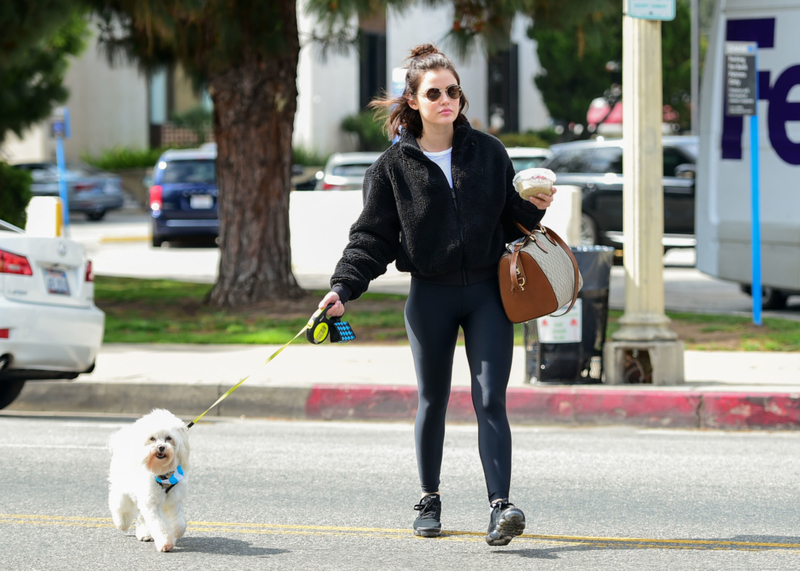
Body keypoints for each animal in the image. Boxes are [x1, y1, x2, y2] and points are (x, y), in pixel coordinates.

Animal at [107, 408, 190, 552]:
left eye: (169, 438)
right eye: (152, 438)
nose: (161, 447)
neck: (162, 473)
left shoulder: (174, 500)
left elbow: (179, 521)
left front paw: (177, 531)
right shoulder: (152, 503)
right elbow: (159, 524)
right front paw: (165, 543)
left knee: (141, 516)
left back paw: (144, 534)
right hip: (122, 488)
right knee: (119, 505)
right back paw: (122, 522)